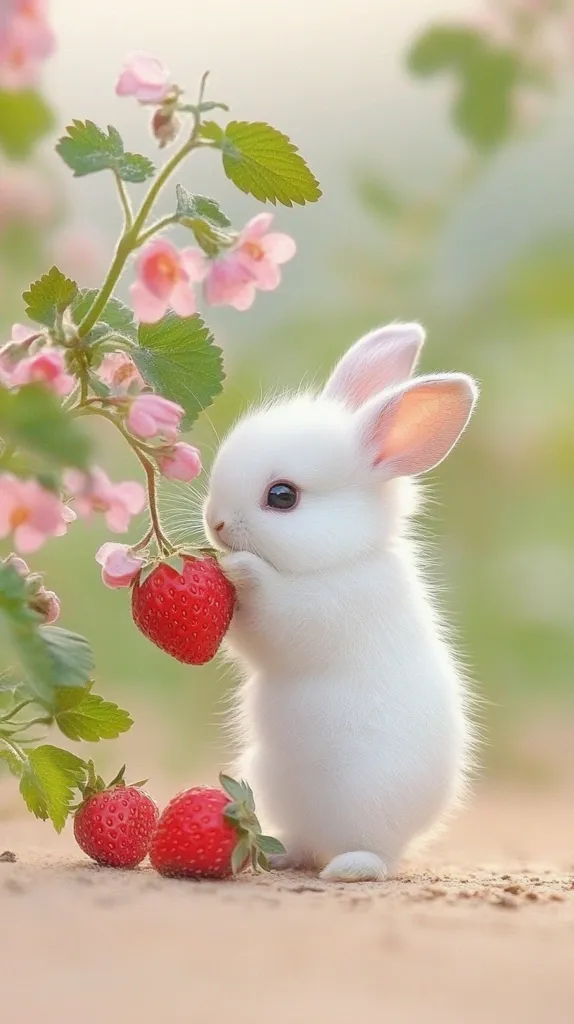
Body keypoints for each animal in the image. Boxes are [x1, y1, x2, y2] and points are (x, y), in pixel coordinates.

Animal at [203, 323, 478, 882]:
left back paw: (348, 869)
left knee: (376, 854)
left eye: (282, 496)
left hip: (370, 806)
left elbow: (273, 613)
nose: (214, 523)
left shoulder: (318, 612)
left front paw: (238, 569)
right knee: (299, 841)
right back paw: (281, 856)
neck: (341, 557)